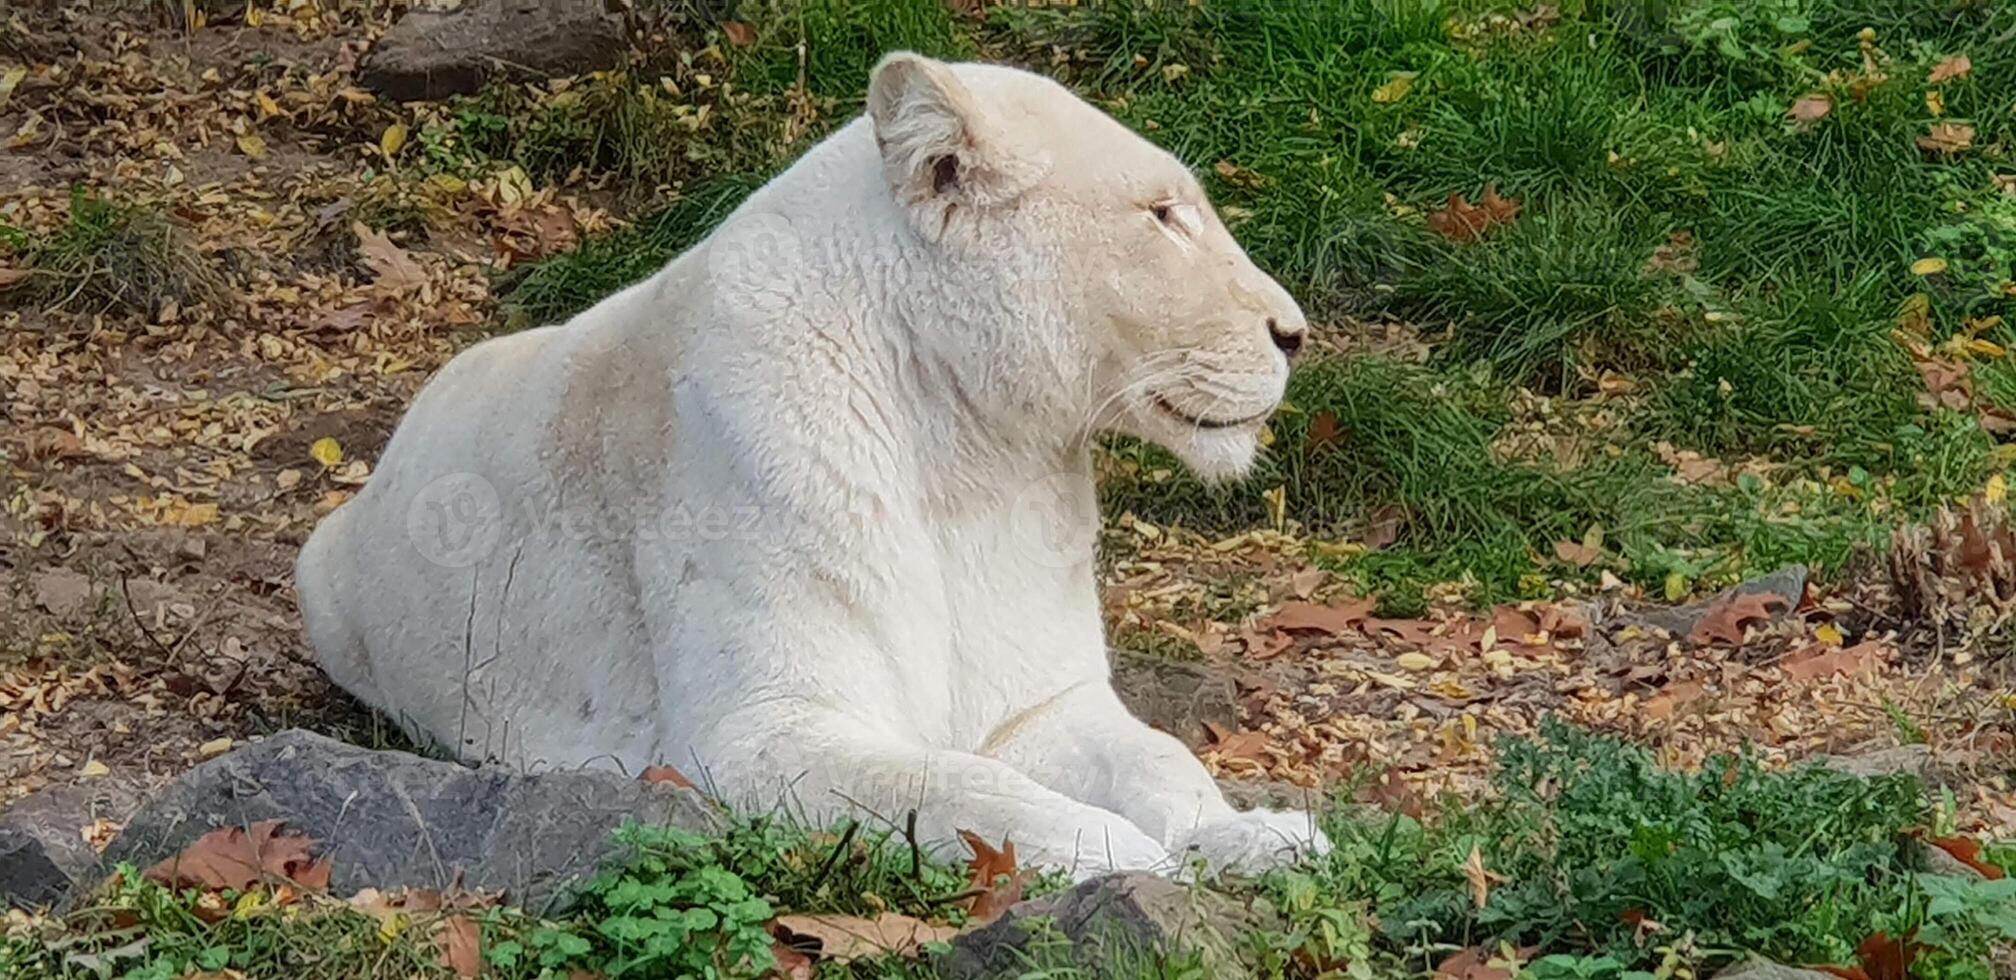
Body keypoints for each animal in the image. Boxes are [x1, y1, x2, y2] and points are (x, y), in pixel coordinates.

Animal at [294, 53, 1322, 879]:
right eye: (1163, 216)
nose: (1295, 333)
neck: (973, 450)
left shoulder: (1038, 701)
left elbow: (1158, 756)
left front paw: (1257, 836)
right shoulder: (754, 733)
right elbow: (952, 785)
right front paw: (1122, 852)